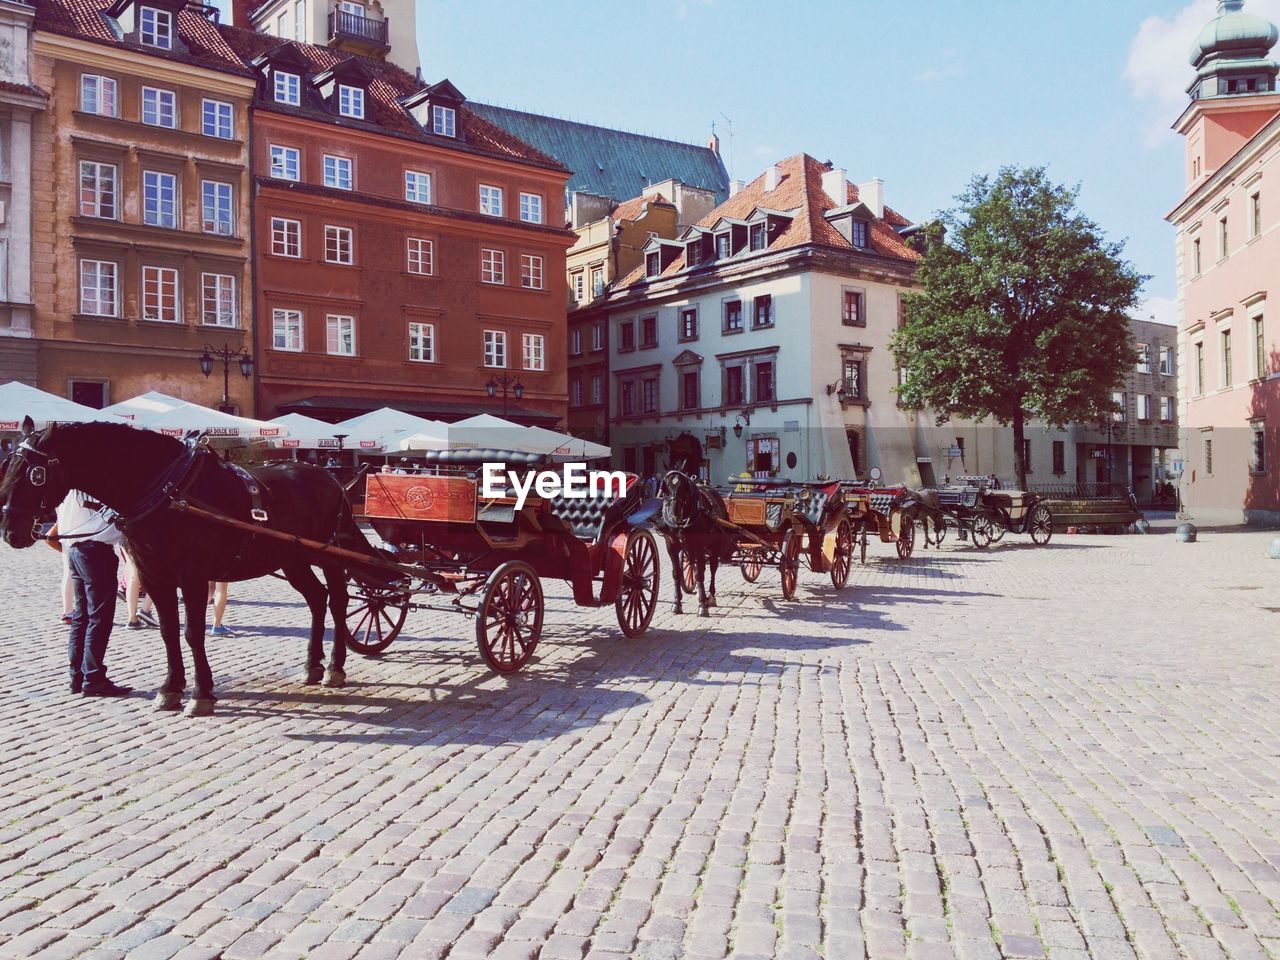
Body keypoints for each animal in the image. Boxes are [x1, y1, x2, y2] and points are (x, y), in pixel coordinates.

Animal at [2, 419, 373, 716]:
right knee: (317, 599)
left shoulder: (193, 577)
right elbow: (169, 632)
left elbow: (193, 633)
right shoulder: (155, 577)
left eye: (35, 474)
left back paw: (335, 667)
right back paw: (312, 665)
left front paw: (201, 693)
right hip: (292, 559)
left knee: (337, 601)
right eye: (8, 466)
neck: (168, 492)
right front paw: (170, 688)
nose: (9, 531)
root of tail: (330, 478)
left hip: (330, 556)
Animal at [655, 471, 737, 616]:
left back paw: (710, 597)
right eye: (666, 490)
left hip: (714, 546)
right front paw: (677, 603)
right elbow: (677, 573)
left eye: (683, 489)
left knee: (712, 568)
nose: (674, 515)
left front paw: (702, 606)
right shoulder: (672, 547)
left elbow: (699, 574)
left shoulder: (698, 546)